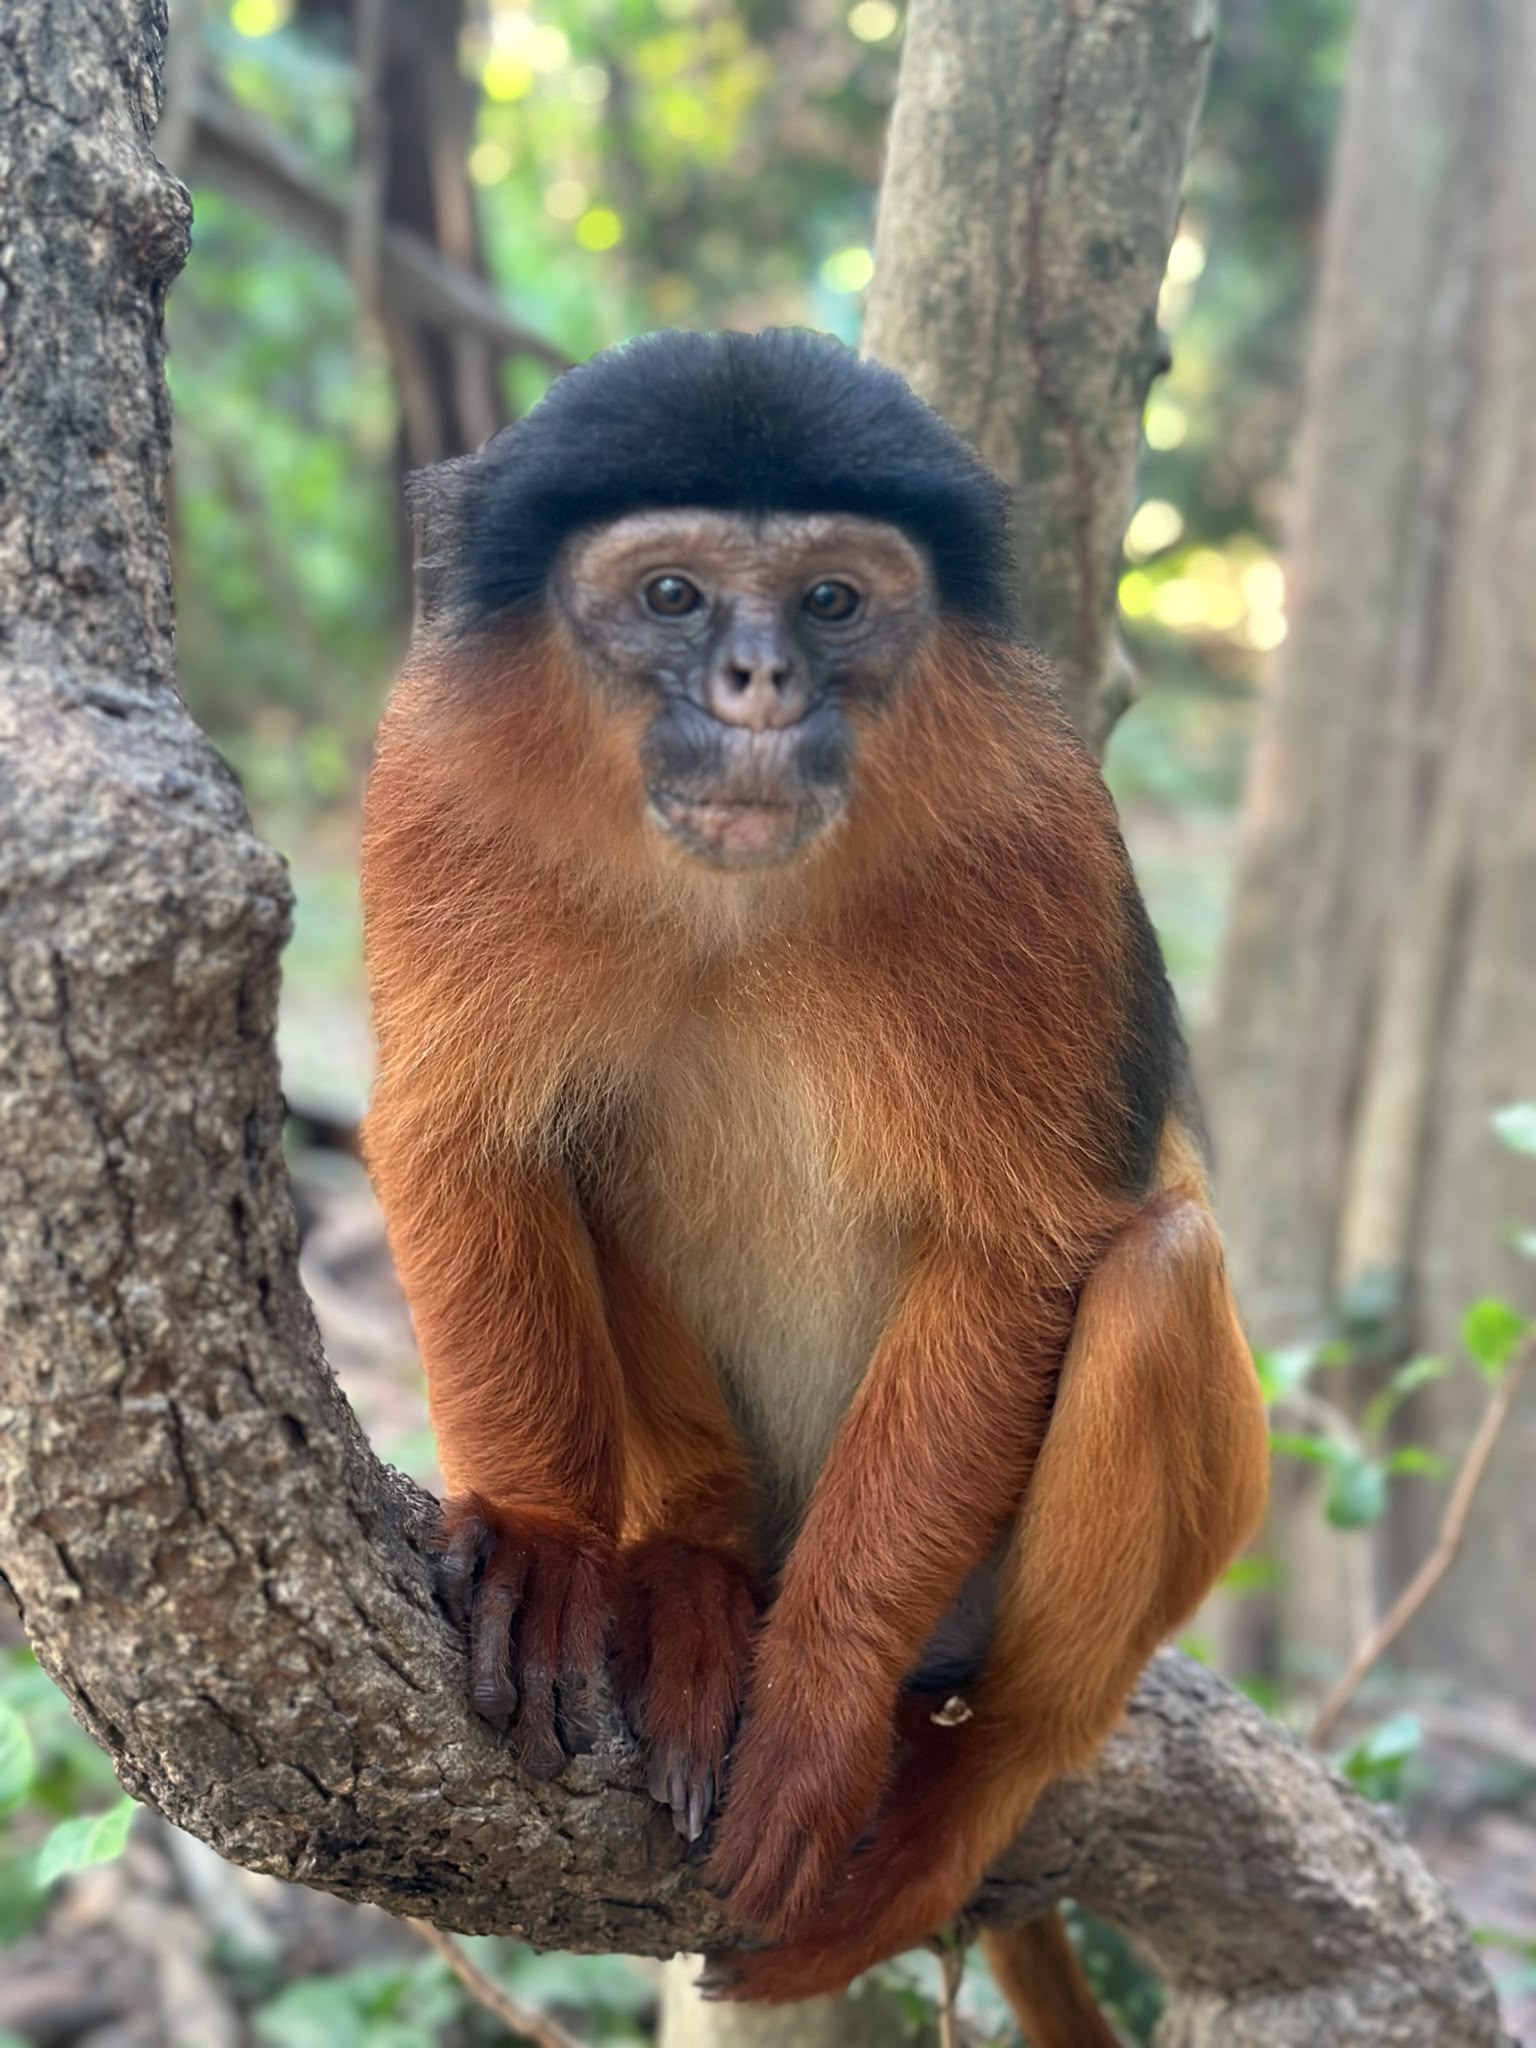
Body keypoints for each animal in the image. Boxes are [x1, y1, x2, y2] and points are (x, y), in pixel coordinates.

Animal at [359, 328, 1269, 2040]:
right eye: (674, 598)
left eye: (833, 602)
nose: (759, 684)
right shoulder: (435, 790)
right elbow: (467, 1138)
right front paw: (546, 1539)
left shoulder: (1037, 834)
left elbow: (1025, 1250)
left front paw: (821, 1705)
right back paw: (701, 1571)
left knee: (1157, 1271)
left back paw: (969, 1776)